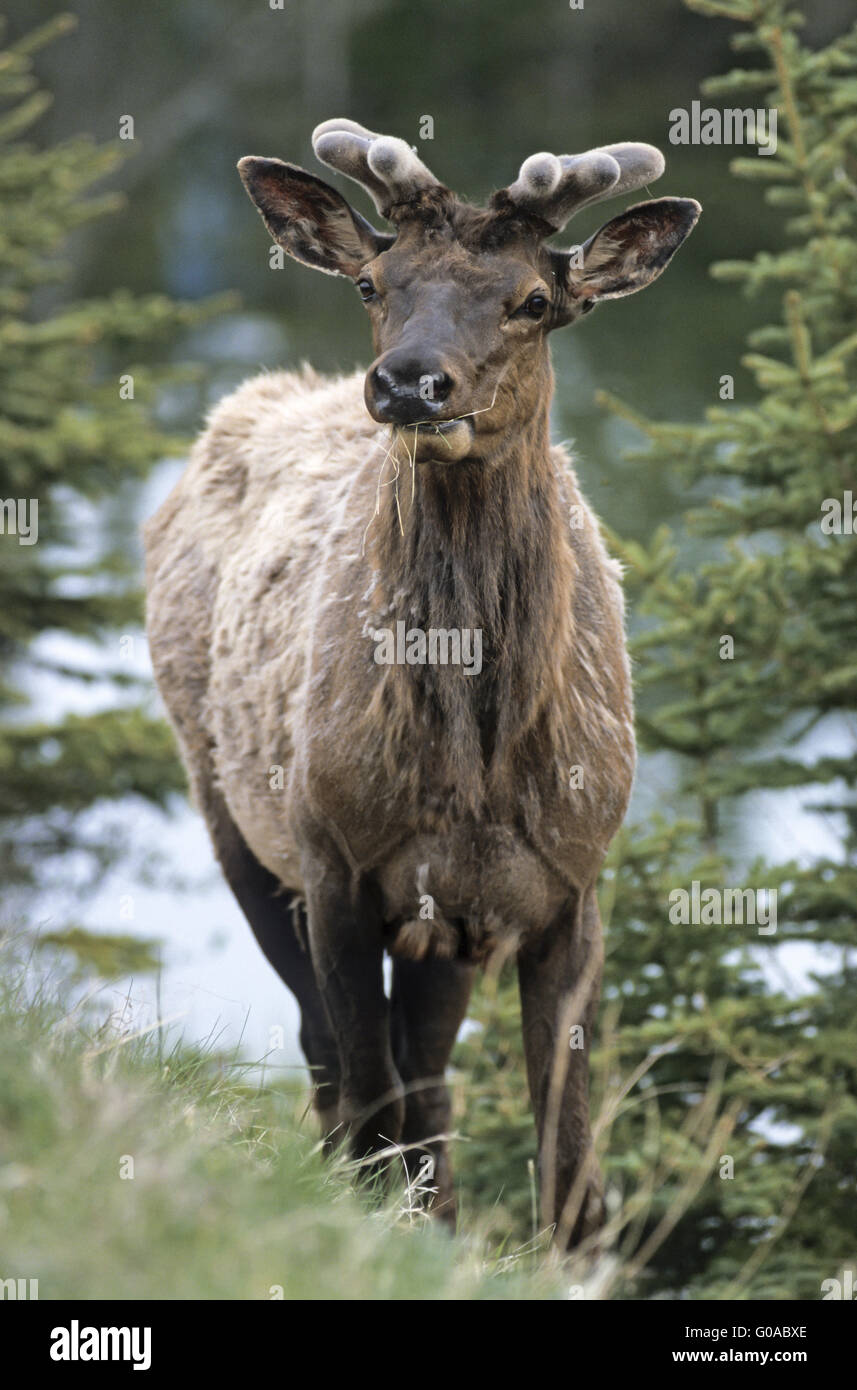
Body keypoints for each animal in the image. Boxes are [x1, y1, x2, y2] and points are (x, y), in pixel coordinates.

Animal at [144, 119, 700, 1250]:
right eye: (374, 283)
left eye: (532, 300)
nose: (408, 384)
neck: (475, 762)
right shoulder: (334, 860)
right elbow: (366, 1099)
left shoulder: (571, 884)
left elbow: (569, 1168)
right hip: (233, 814)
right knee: (339, 1067)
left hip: (445, 920)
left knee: (429, 1077)